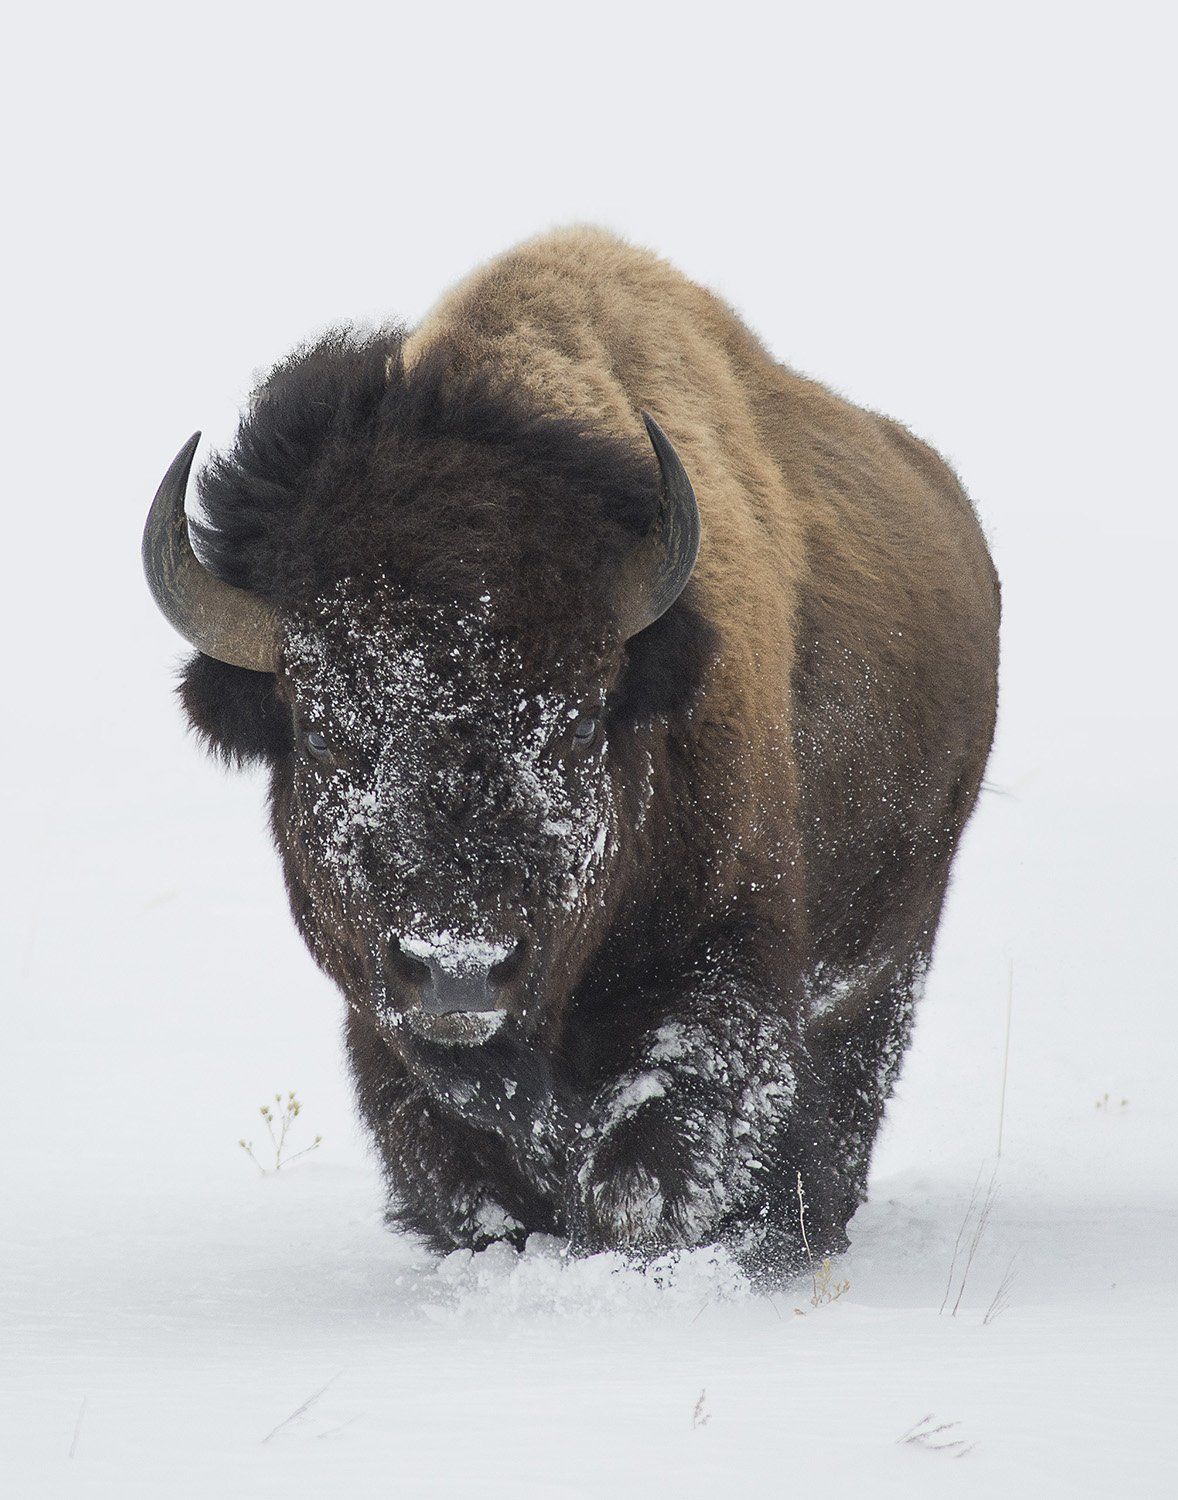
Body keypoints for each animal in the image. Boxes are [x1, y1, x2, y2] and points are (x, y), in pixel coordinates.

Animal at [143, 228, 999, 1273]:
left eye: (584, 720)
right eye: (321, 730)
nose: (460, 969)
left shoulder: (722, 981)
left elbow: (650, 1169)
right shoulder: (386, 1034)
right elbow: (471, 1185)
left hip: (891, 953)